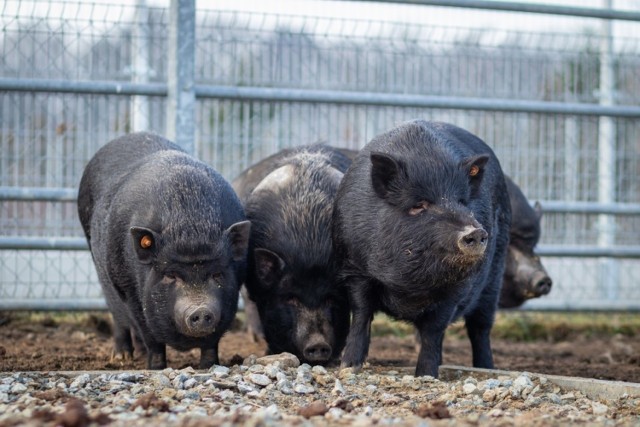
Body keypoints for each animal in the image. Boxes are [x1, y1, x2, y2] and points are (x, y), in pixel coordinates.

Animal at [77, 134, 250, 372]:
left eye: (217, 274)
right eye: (170, 275)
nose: (200, 310)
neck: (189, 225)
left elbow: (212, 342)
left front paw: (209, 366)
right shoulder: (132, 292)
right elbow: (151, 336)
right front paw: (156, 368)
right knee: (119, 317)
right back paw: (122, 358)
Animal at [332, 120, 512, 378]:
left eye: (462, 202)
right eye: (418, 205)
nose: (474, 232)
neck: (410, 285)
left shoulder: (457, 288)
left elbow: (433, 330)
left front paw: (426, 375)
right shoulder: (355, 268)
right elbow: (361, 313)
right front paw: (348, 368)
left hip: (494, 278)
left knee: (480, 327)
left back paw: (485, 368)